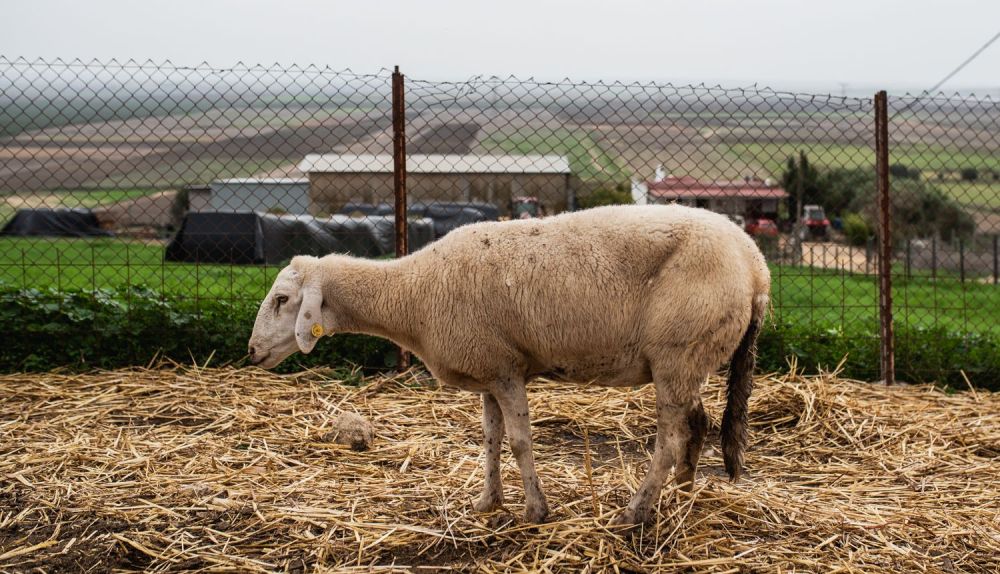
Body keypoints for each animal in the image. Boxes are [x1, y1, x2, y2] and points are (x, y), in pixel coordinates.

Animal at [247, 204, 771, 525]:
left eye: (282, 299)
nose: (251, 352)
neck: (411, 294)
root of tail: (757, 267)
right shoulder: (487, 371)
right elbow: (490, 440)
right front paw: (488, 502)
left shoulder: (506, 370)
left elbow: (520, 442)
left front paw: (536, 510)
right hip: (689, 359)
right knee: (698, 424)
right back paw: (681, 493)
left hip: (677, 352)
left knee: (669, 440)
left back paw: (636, 511)